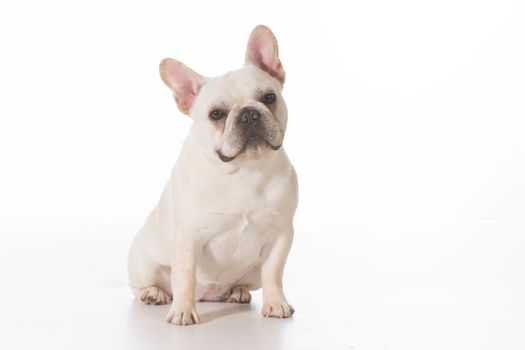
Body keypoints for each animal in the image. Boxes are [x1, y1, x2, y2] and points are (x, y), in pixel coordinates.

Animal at [127, 24, 296, 326]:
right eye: (216, 114)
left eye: (269, 97)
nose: (249, 114)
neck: (244, 170)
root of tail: (209, 295)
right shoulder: (188, 237)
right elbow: (184, 276)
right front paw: (183, 311)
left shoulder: (281, 235)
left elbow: (274, 273)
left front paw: (276, 303)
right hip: (143, 262)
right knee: (143, 285)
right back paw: (153, 294)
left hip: (252, 272)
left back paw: (237, 291)